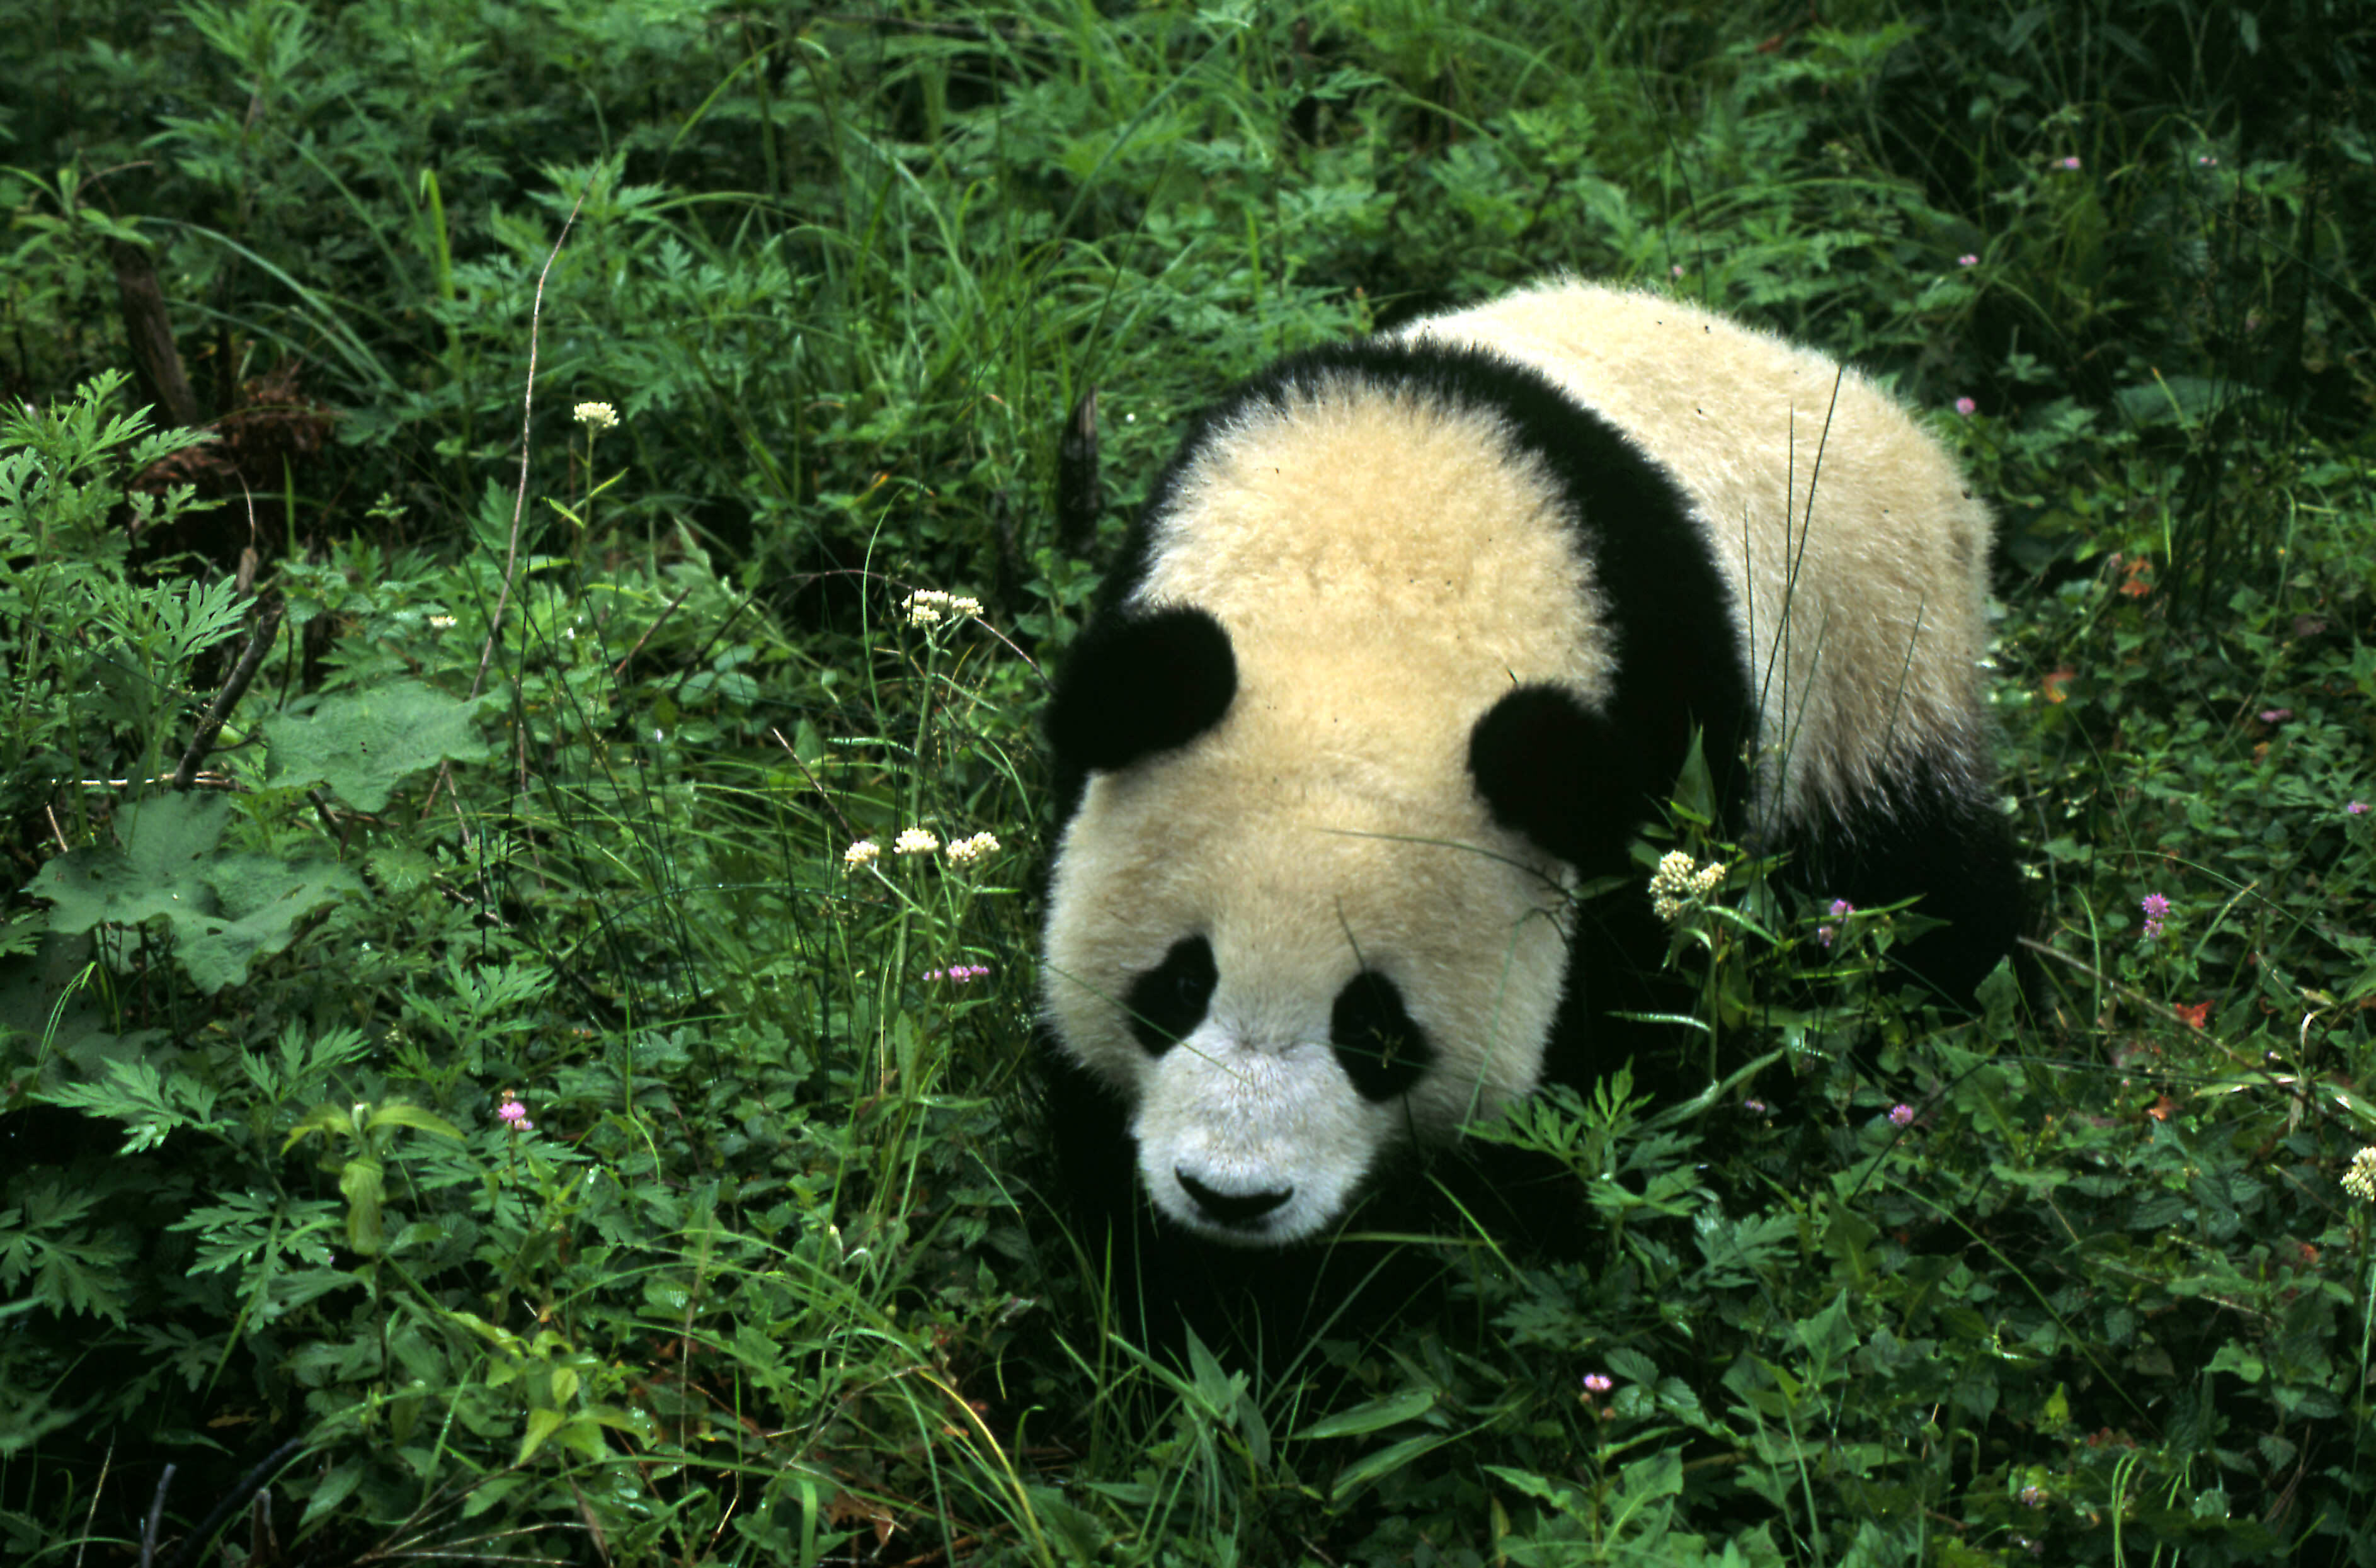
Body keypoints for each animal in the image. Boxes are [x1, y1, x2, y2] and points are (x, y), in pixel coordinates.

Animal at [1038, 278, 2020, 1262]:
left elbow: (1623, 1035)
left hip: (1873, 673)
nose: (1232, 1196)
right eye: (1178, 985)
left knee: (1921, 893)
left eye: (1377, 1030)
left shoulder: (1663, 724)